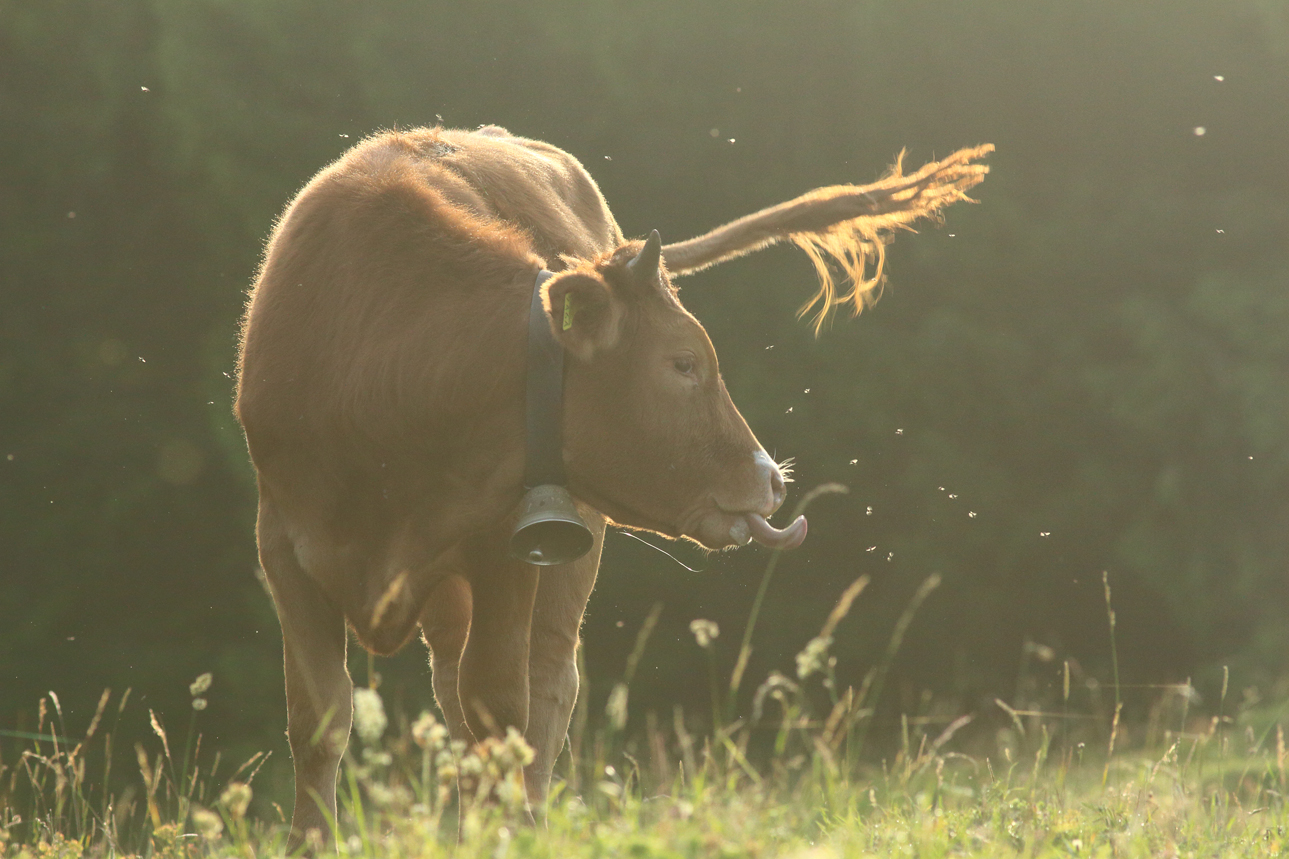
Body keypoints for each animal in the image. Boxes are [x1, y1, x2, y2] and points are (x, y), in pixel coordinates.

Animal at [237, 123, 989, 840]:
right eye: (684, 362)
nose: (772, 480)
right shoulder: (281, 547)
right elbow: (319, 719)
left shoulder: (503, 545)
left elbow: (500, 706)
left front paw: (502, 832)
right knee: (453, 688)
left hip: (567, 550)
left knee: (543, 686)